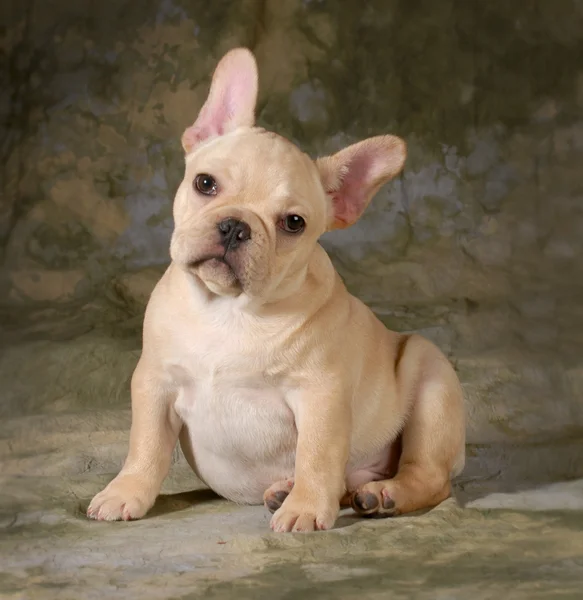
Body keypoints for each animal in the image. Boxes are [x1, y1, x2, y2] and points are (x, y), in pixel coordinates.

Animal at [86, 49, 466, 532]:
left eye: (293, 223)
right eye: (205, 183)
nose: (235, 226)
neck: (228, 310)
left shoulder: (320, 395)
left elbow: (317, 455)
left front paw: (305, 507)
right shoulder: (154, 381)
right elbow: (146, 444)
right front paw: (126, 491)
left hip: (430, 380)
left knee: (429, 476)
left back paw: (382, 495)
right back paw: (294, 490)